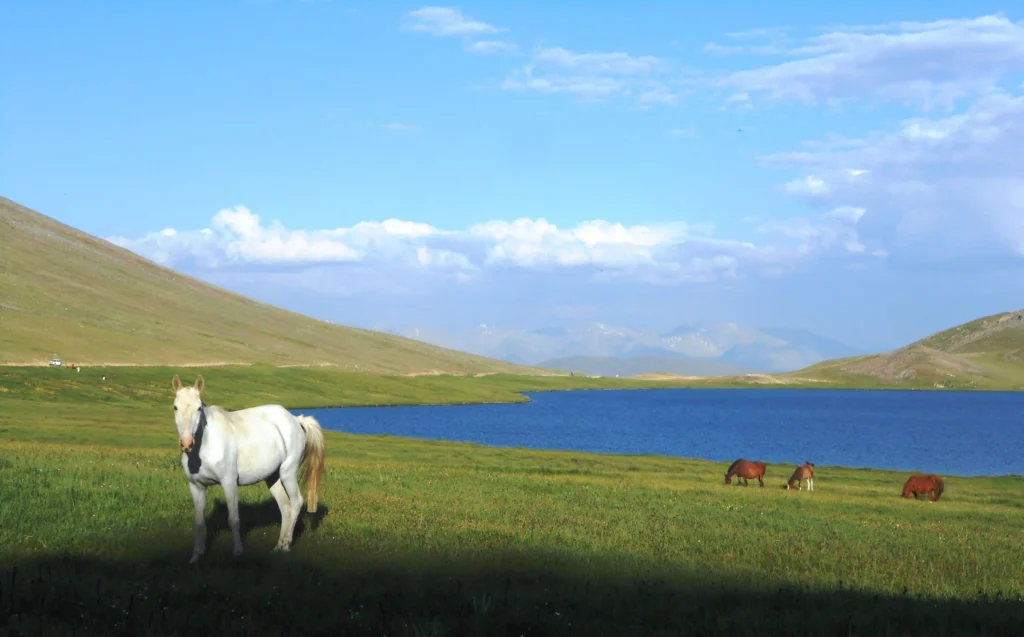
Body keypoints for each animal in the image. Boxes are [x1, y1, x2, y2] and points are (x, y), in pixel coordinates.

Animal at [171, 374, 323, 565]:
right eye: (175, 407)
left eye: (199, 408)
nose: (186, 443)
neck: (207, 444)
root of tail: (296, 420)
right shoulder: (197, 486)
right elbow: (199, 522)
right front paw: (196, 556)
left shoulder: (229, 483)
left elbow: (234, 519)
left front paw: (238, 553)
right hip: (272, 478)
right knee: (285, 507)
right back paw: (279, 546)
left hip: (287, 473)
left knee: (296, 503)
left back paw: (287, 545)